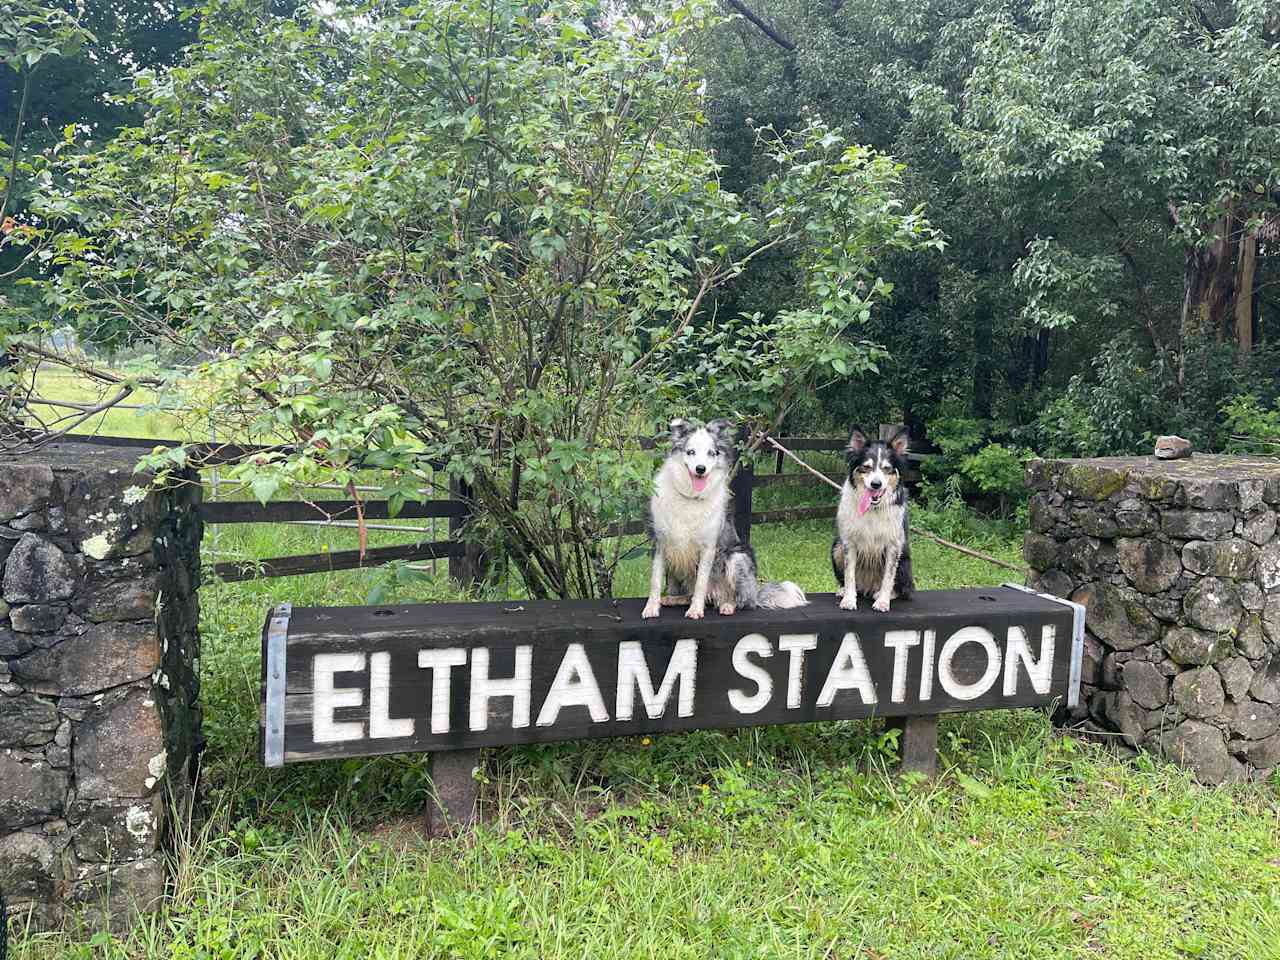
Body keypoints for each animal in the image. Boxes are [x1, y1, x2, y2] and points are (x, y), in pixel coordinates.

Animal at [640, 417, 808, 619]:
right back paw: (674, 599)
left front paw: (695, 611)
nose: (701, 469)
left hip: (737, 558)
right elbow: (655, 581)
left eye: (711, 453)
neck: (691, 497)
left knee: (740, 601)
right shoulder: (662, 543)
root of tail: (755, 592)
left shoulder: (708, 547)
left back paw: (727, 605)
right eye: (691, 452)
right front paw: (651, 607)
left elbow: (701, 583)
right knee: (692, 594)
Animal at [834, 430, 916, 611]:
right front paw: (849, 599)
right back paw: (845, 591)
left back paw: (881, 594)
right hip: (837, 547)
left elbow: (888, 577)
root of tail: (868, 587)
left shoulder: (894, 545)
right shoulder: (848, 542)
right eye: (866, 467)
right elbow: (849, 575)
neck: (872, 508)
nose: (876, 484)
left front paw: (883, 602)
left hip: (904, 561)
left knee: (903, 589)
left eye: (887, 469)